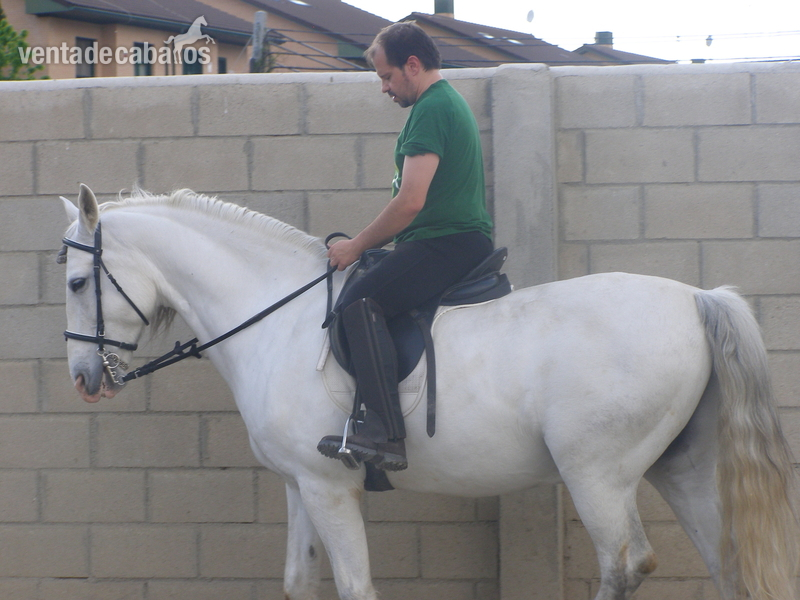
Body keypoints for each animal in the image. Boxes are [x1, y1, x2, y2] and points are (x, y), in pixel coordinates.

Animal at [59, 184, 798, 600]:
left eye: (75, 282)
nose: (85, 380)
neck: (276, 317)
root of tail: (697, 297)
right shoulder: (301, 483)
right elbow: (300, 582)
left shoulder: (330, 486)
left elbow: (355, 586)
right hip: (683, 466)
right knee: (726, 563)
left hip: (599, 472)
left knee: (624, 565)